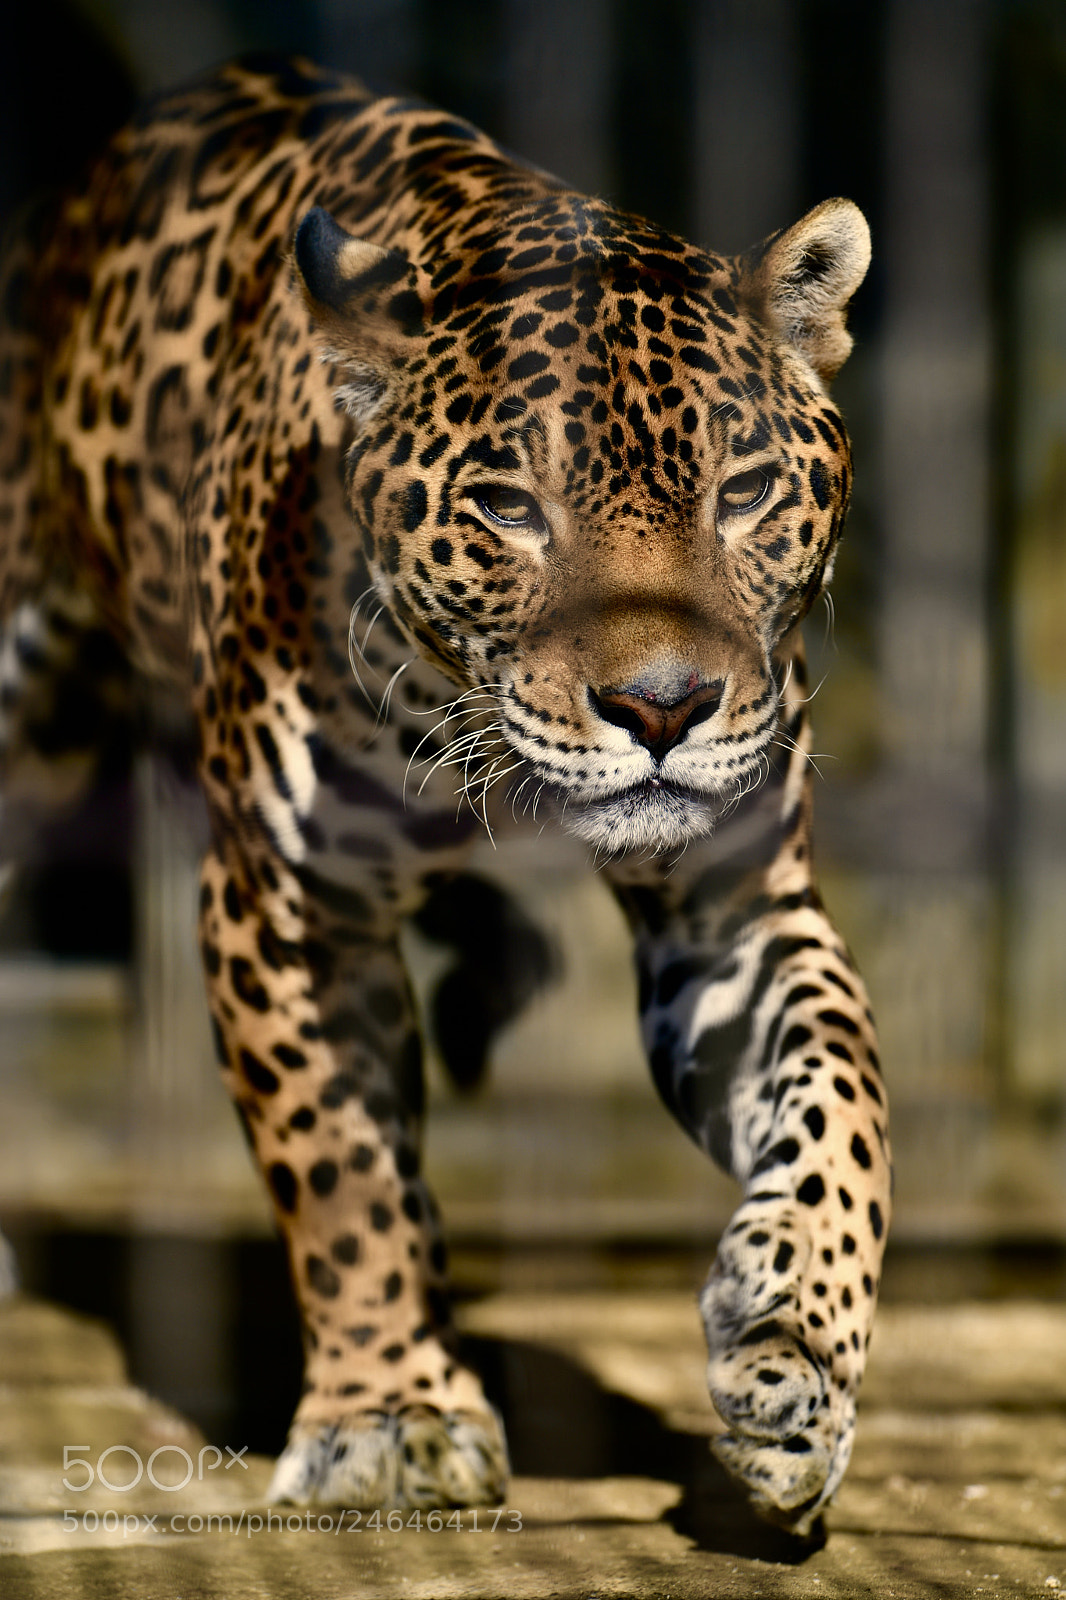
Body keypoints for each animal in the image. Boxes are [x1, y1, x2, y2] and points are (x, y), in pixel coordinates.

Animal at [0, 56, 891, 1538]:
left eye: (748, 491)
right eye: (509, 510)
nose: (663, 708)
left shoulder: (737, 911)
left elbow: (840, 1103)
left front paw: (790, 1359)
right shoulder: (291, 909)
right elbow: (345, 1170)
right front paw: (390, 1415)